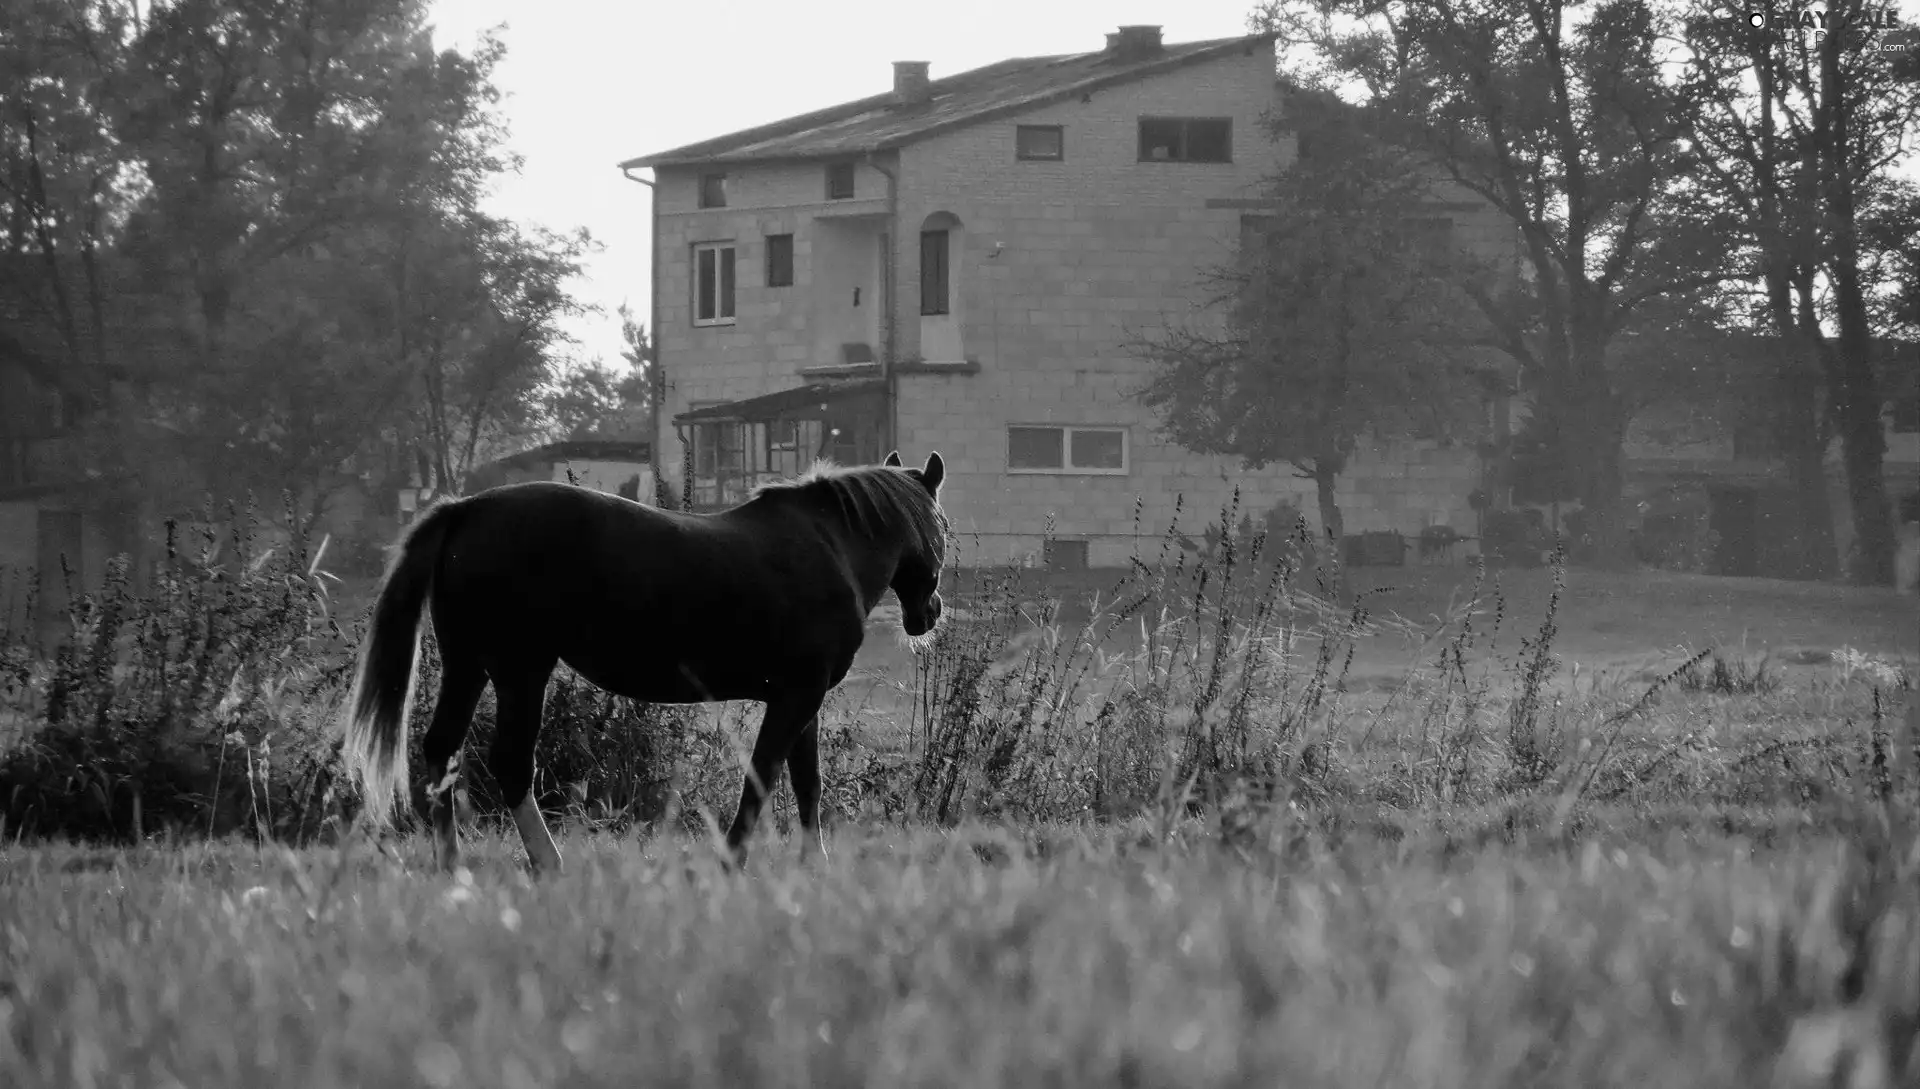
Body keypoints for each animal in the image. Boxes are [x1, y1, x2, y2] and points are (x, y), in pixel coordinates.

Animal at [343, 451, 952, 879]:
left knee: (441, 750)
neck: (829, 548)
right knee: (510, 764)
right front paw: (731, 861)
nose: (930, 614)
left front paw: (813, 864)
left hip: (468, 666)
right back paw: (549, 864)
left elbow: (808, 784)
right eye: (941, 528)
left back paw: (452, 865)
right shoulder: (796, 696)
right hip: (520, 671)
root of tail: (465, 510)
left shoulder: (803, 698)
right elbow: (762, 777)